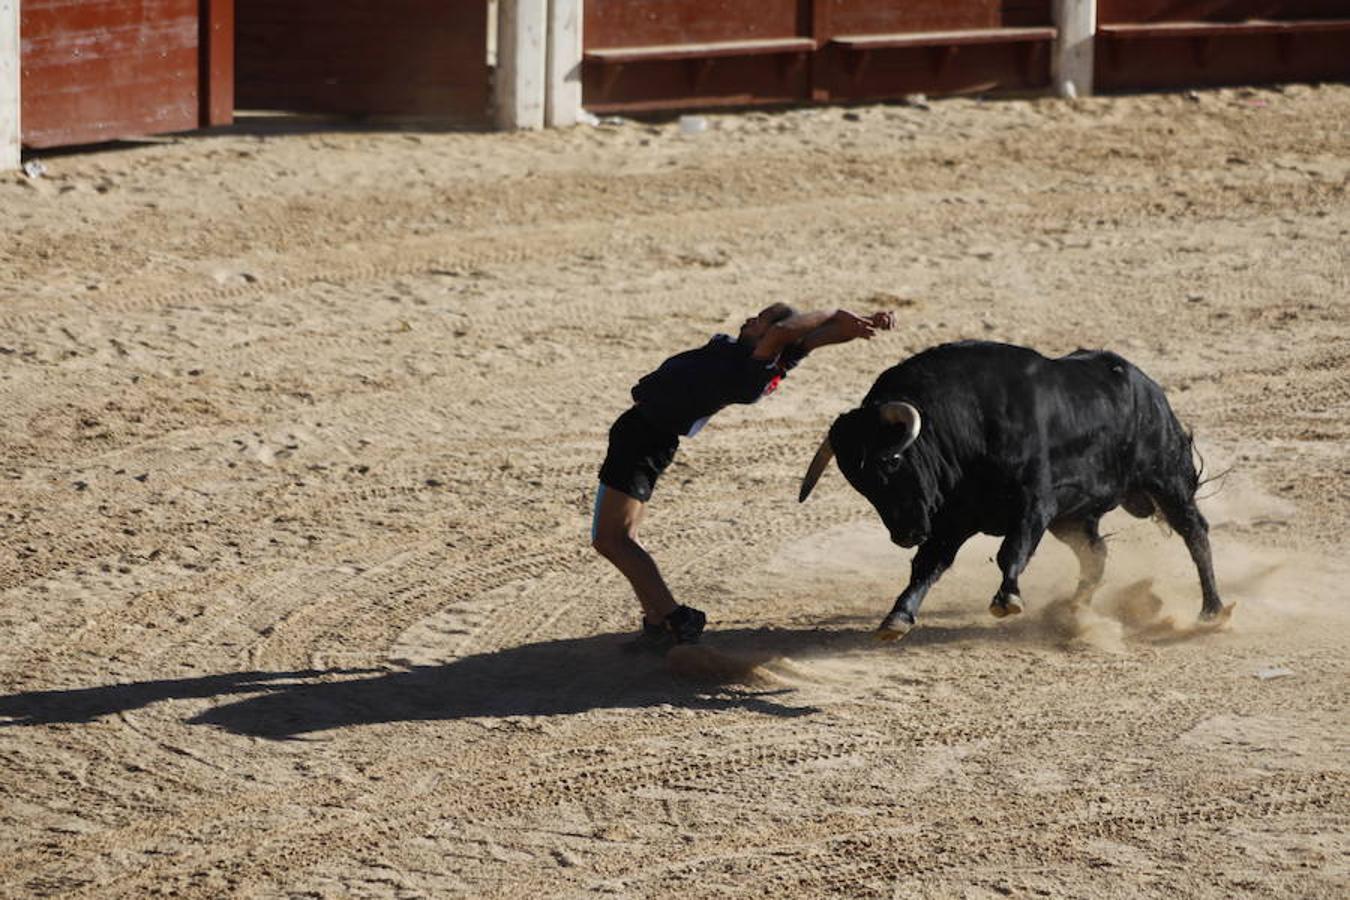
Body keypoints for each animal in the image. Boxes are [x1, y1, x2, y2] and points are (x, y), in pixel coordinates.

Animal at [799, 340, 1236, 639]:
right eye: (859, 484)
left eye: (890, 462)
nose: (906, 534)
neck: (965, 424)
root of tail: (1151, 389)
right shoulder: (952, 521)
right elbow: (928, 565)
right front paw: (897, 618)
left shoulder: (1034, 503)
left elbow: (1012, 550)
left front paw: (1007, 599)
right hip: (1073, 518)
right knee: (1095, 553)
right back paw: (1074, 610)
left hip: (1166, 478)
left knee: (1194, 532)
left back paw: (1212, 611)